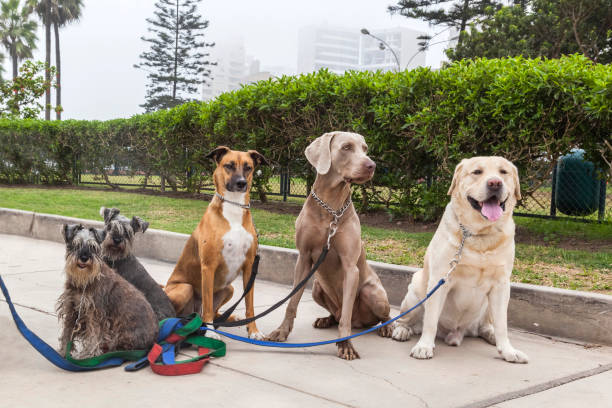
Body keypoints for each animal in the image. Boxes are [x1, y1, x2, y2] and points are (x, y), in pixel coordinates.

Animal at [56, 223, 159, 356]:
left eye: (93, 247)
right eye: (76, 244)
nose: (84, 257)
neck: (85, 281)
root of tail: (154, 340)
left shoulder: (96, 315)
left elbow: (94, 337)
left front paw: (88, 355)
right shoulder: (72, 309)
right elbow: (67, 334)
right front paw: (63, 352)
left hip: (120, 335)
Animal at [164, 145, 266, 340]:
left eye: (248, 167)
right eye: (229, 165)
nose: (241, 183)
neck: (234, 206)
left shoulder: (249, 267)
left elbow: (249, 305)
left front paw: (253, 330)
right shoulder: (208, 267)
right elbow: (208, 307)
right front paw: (210, 333)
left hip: (229, 289)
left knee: (214, 312)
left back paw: (230, 317)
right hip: (185, 288)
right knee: (190, 312)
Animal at [266, 131, 392, 360]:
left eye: (365, 148)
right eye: (346, 147)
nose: (372, 165)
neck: (331, 207)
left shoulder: (351, 267)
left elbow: (346, 316)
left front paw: (345, 345)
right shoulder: (303, 258)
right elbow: (292, 302)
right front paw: (282, 331)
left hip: (373, 292)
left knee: (378, 315)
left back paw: (387, 327)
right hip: (317, 287)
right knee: (336, 314)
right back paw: (325, 319)